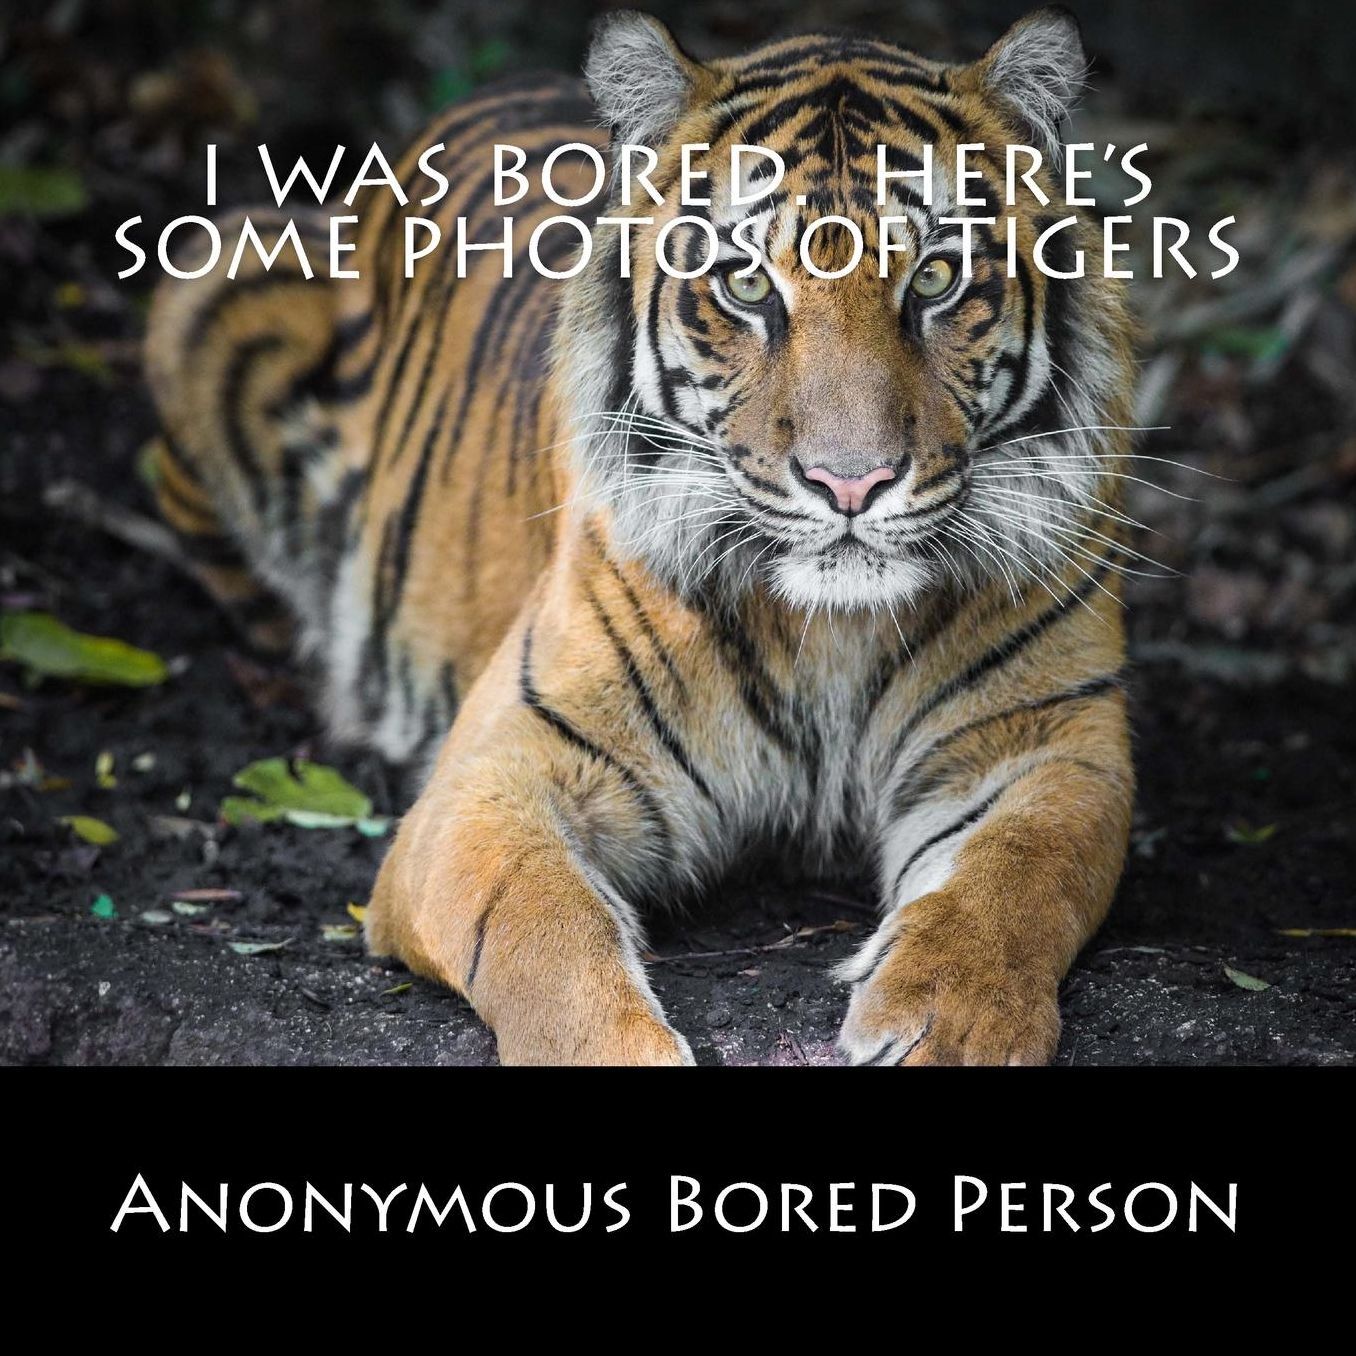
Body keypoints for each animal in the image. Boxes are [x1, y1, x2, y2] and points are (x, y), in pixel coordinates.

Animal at [145, 6, 1137, 1065]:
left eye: (938, 278)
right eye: (747, 286)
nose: (851, 482)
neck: (828, 631)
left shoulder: (1054, 744)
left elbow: (1017, 875)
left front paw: (947, 1022)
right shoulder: (496, 770)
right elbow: (540, 927)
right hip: (213, 273)